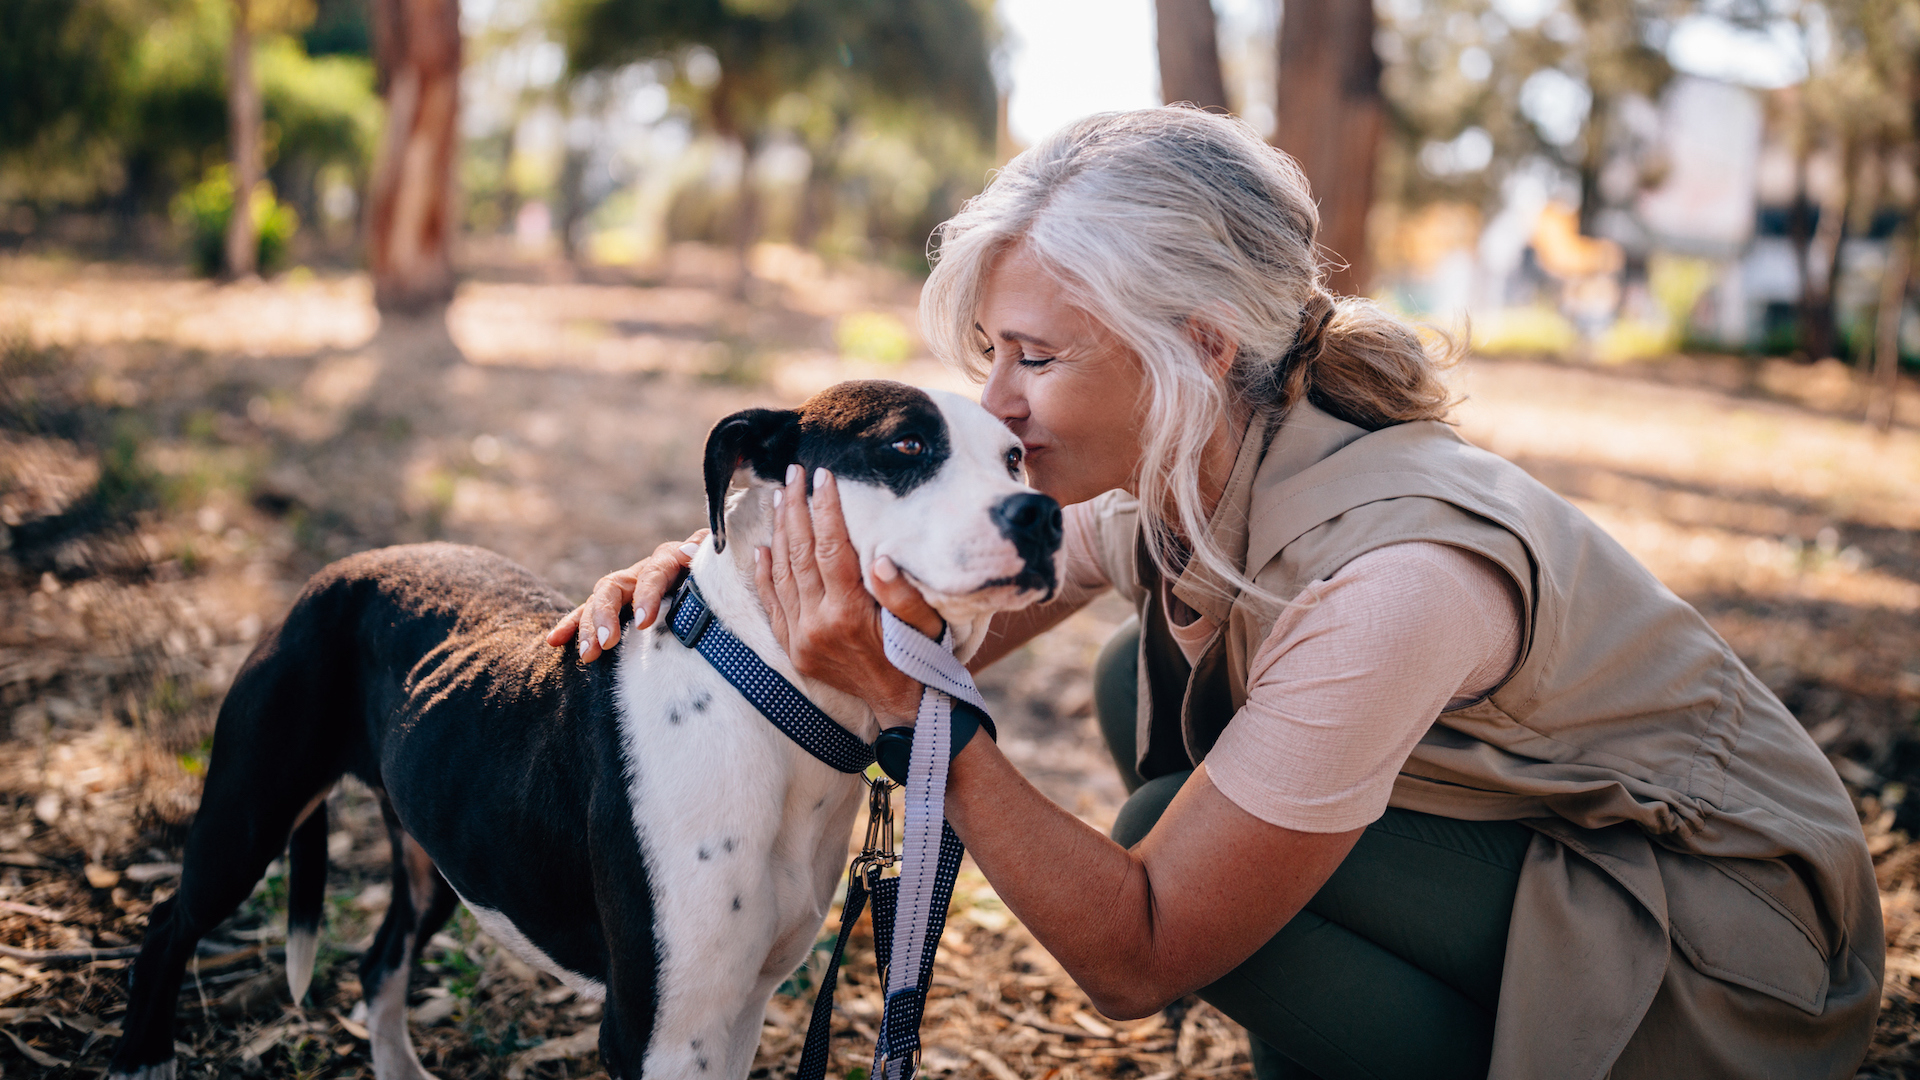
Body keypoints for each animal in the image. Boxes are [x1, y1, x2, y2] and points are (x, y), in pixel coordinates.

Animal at [108, 380, 1067, 1076]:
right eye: (905, 447)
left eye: (1016, 458)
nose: (1044, 514)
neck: (767, 692)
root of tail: (346, 566)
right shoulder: (665, 1034)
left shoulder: (736, 1013)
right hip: (248, 816)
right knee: (167, 926)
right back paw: (143, 1060)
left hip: (442, 853)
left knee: (380, 961)